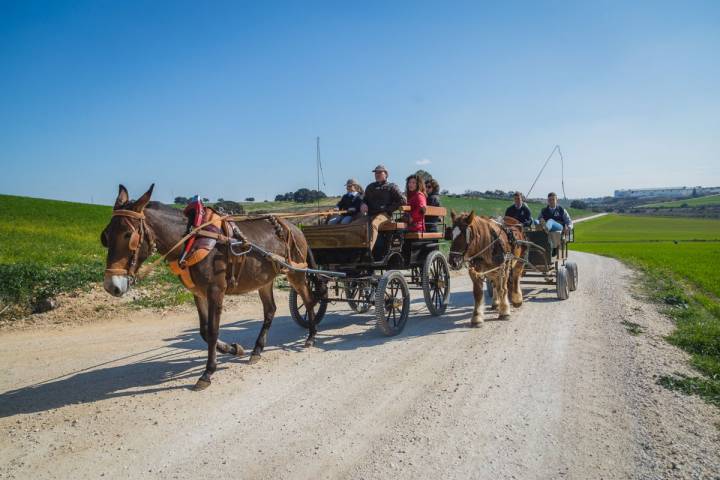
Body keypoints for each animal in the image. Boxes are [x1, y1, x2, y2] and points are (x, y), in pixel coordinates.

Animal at [100, 184, 320, 390]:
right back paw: (257, 350)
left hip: (296, 272)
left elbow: (213, 330)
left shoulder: (215, 291)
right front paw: (233, 349)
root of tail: (295, 227)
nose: (111, 286)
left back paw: (311, 336)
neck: (191, 239)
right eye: (106, 236)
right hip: (264, 280)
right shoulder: (198, 293)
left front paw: (208, 372)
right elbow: (204, 331)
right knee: (270, 310)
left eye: (129, 235)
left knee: (309, 300)